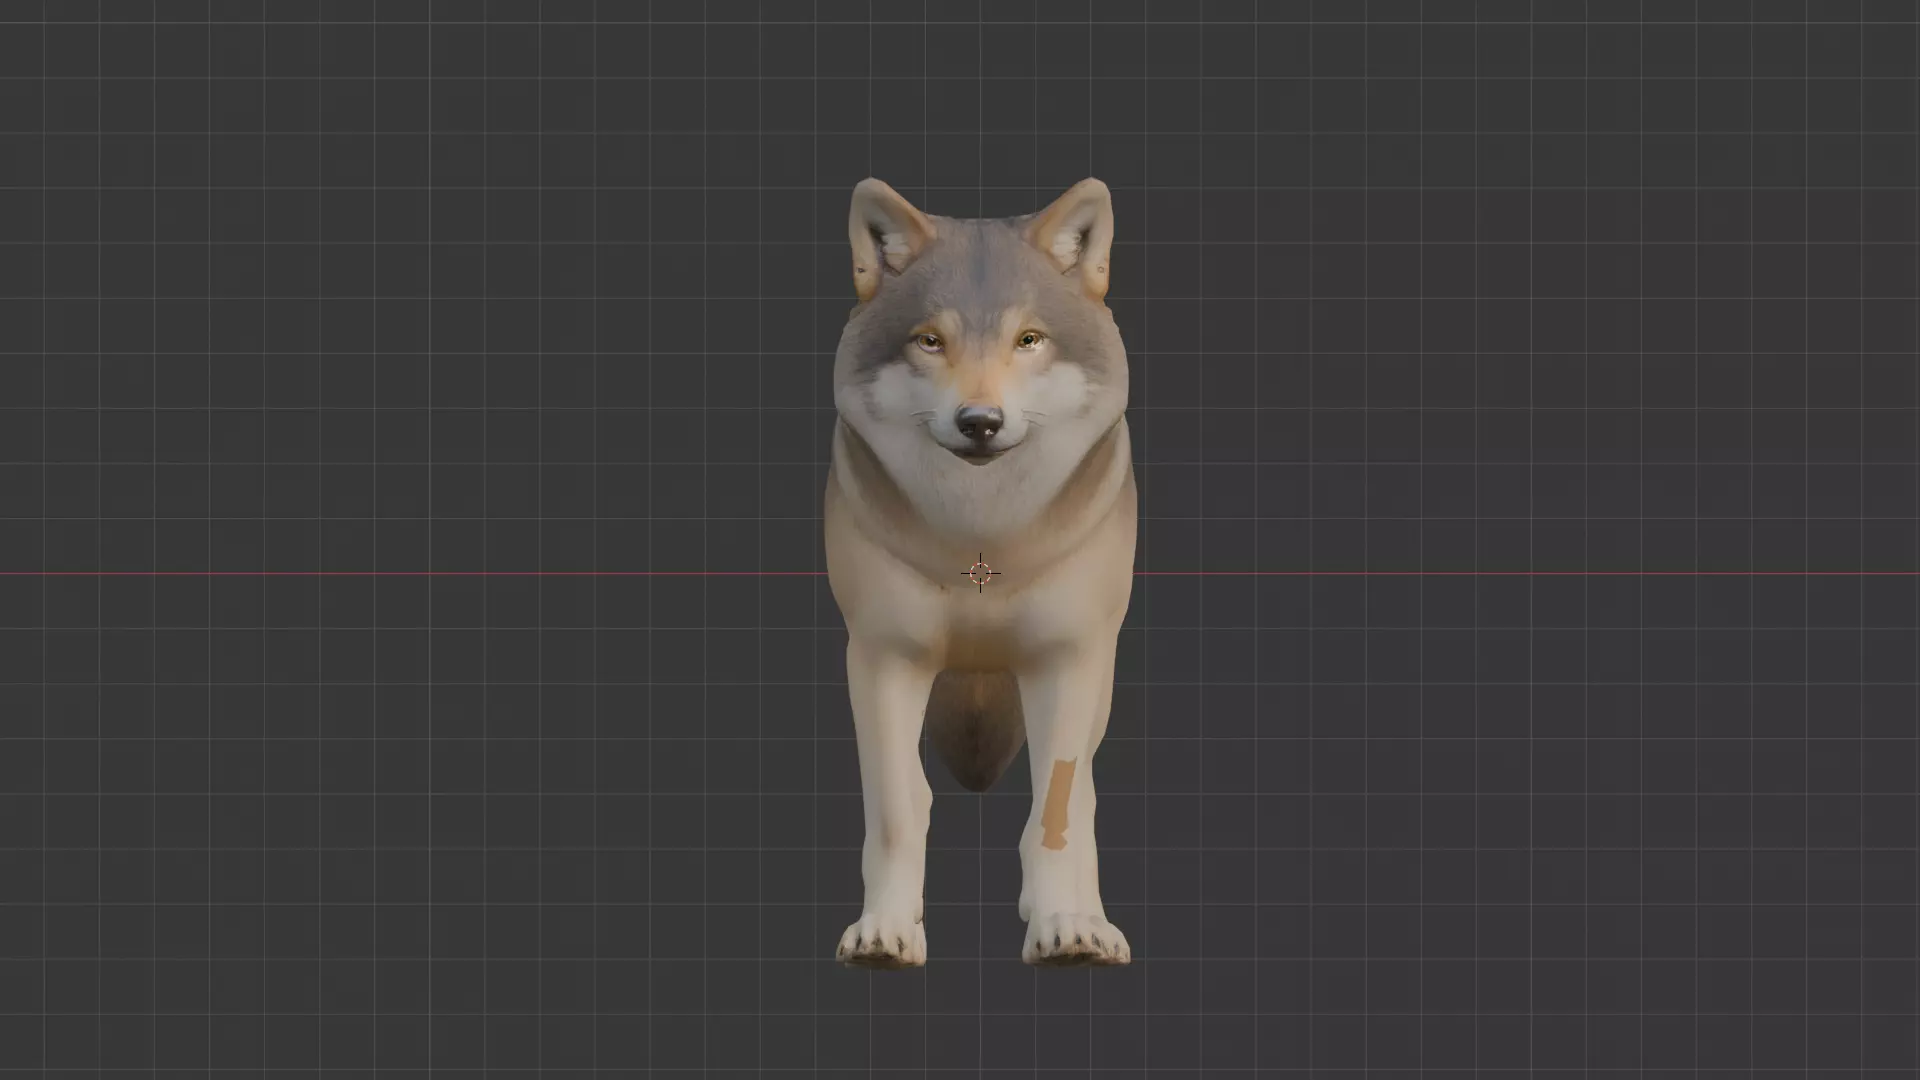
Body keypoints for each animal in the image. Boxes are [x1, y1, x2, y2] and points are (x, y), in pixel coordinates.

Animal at [824, 177, 1136, 967]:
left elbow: (1057, 812)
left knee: (1085, 796)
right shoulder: (883, 656)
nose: (980, 422)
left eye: (1029, 340)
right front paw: (885, 931)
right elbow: (899, 810)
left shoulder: (1067, 658)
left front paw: (1065, 927)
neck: (980, 547)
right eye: (930, 340)